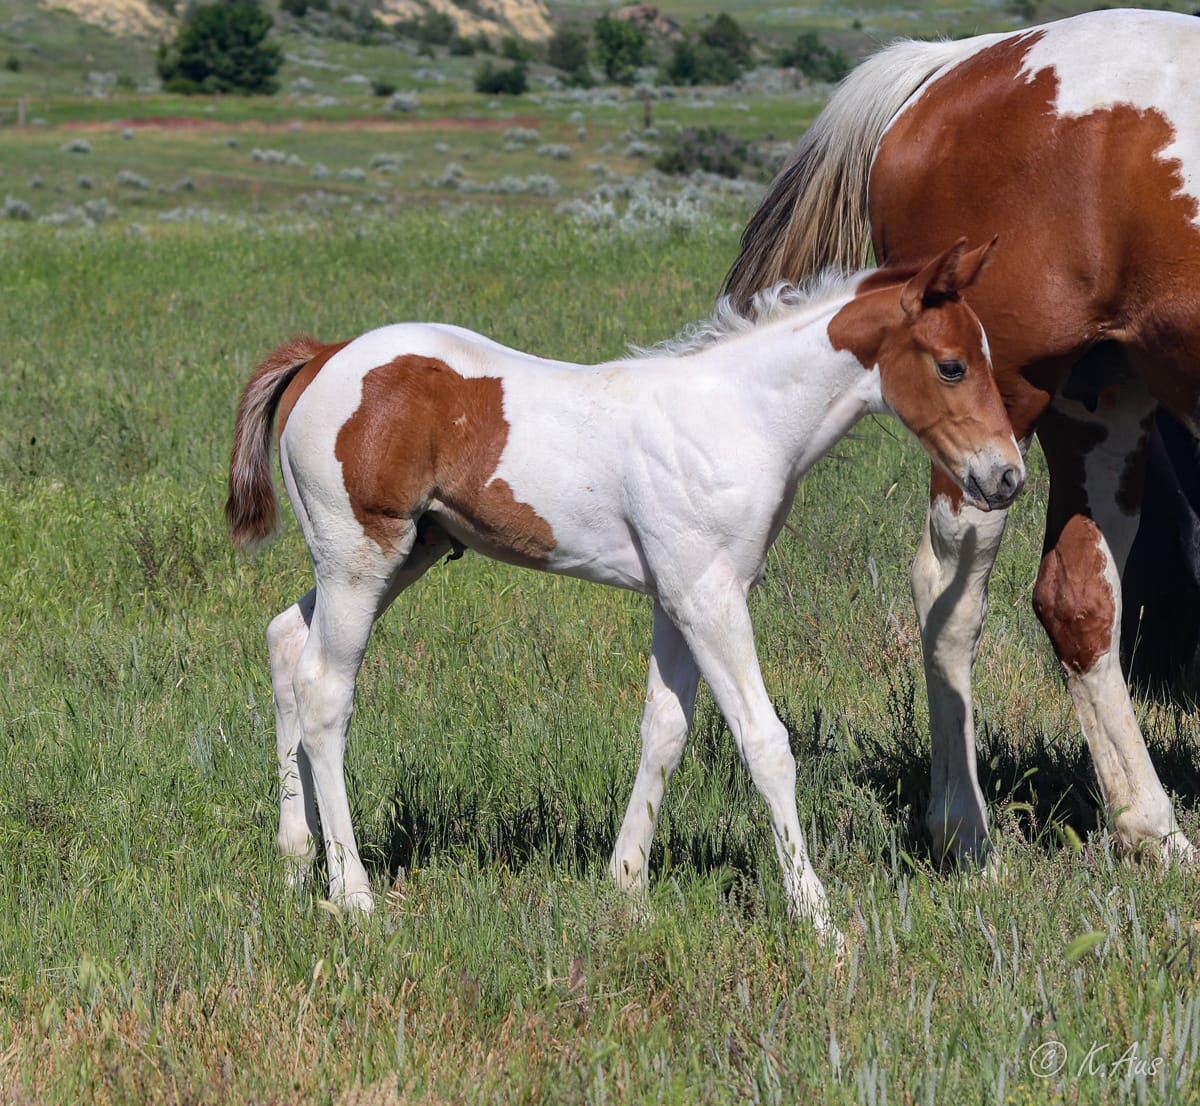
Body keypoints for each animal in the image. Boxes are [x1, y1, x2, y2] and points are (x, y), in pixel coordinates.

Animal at [226, 238, 1022, 930]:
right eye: (952, 366)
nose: (1007, 476)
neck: (736, 418)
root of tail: (321, 357)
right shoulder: (708, 596)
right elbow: (765, 741)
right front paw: (817, 916)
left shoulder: (678, 596)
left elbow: (664, 730)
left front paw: (626, 886)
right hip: (359, 556)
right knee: (324, 689)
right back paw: (352, 891)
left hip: (400, 554)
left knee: (285, 641)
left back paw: (297, 861)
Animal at [720, 8, 1200, 868]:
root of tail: (952, 66)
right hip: (995, 420)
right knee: (947, 590)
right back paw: (962, 826)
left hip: (1100, 405)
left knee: (1077, 598)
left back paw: (1152, 828)